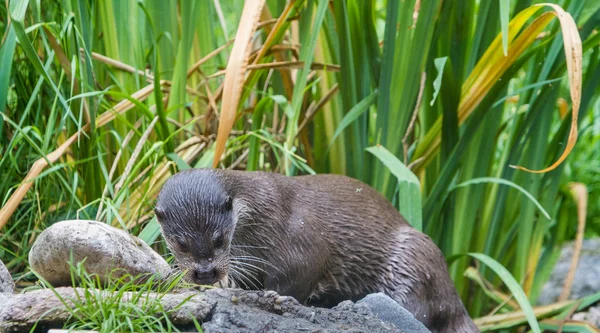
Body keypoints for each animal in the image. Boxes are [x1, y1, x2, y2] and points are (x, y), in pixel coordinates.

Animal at [154, 170, 478, 330]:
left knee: (423, 310)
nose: (206, 273)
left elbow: (297, 280)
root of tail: (454, 297)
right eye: (180, 243)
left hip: (413, 257)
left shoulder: (300, 246)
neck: (264, 213)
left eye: (220, 239)